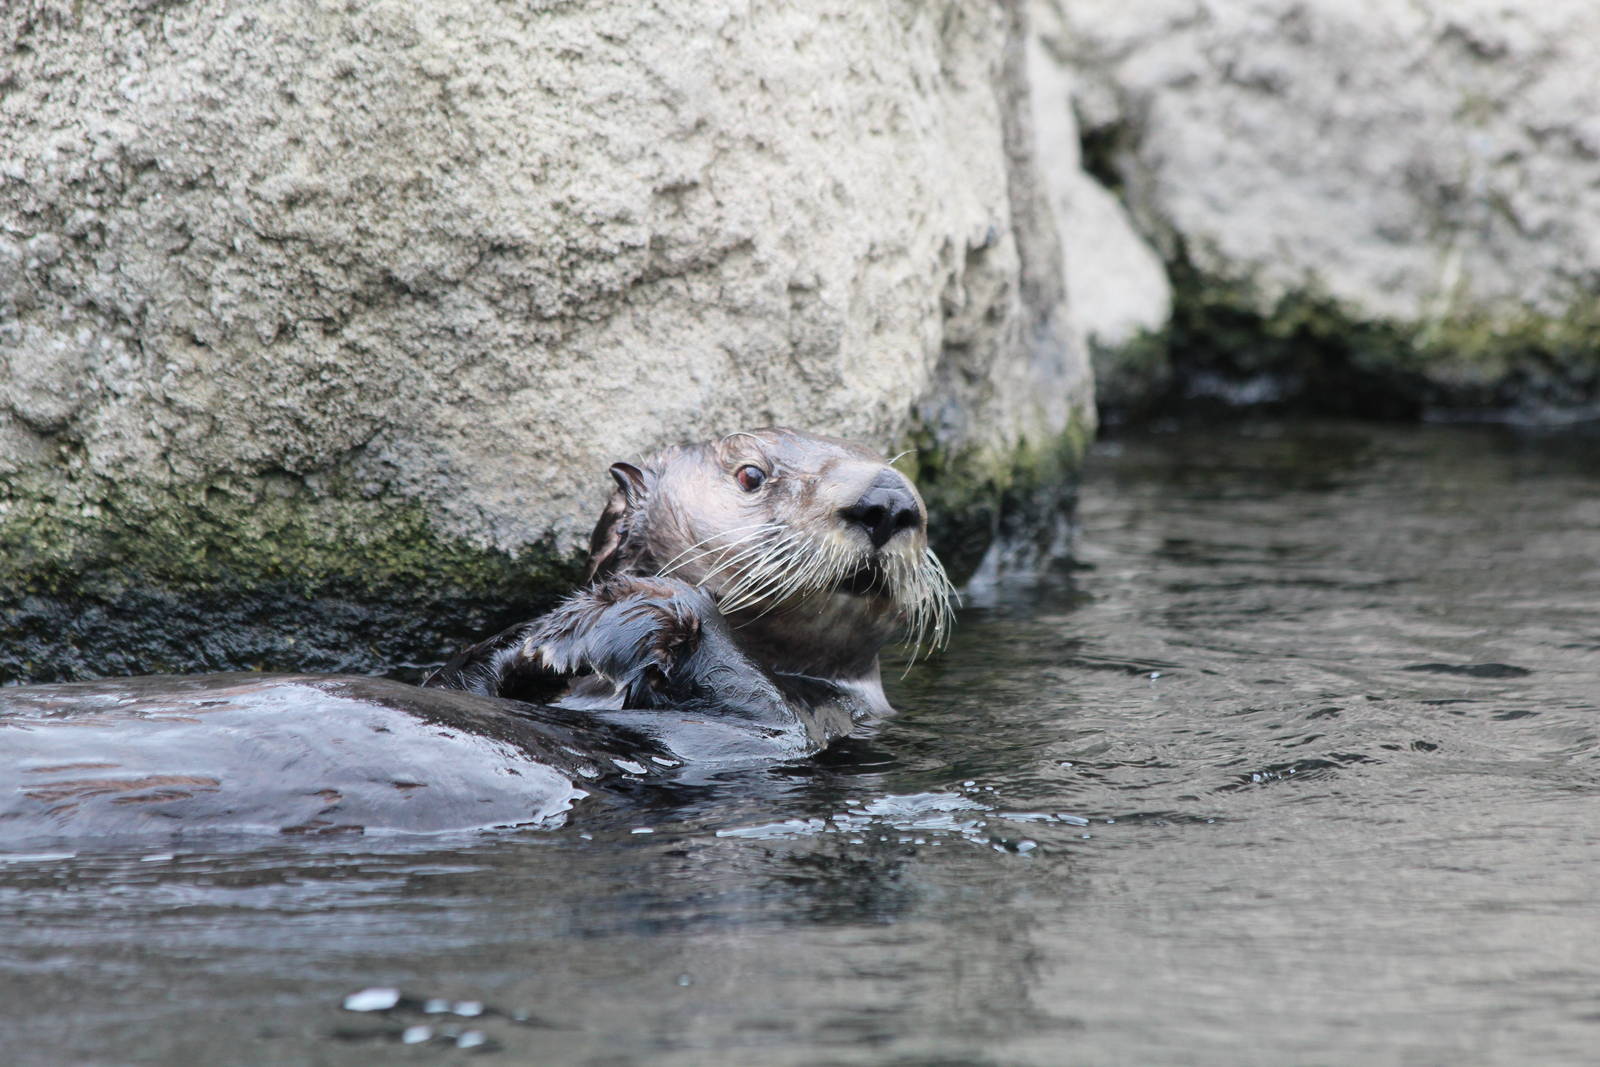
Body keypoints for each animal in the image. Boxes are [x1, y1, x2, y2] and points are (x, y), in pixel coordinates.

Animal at [0, 429, 955, 841]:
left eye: (898, 472)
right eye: (753, 474)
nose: (886, 499)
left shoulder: (791, 727)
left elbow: (734, 680)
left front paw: (602, 622)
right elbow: (461, 672)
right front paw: (552, 636)